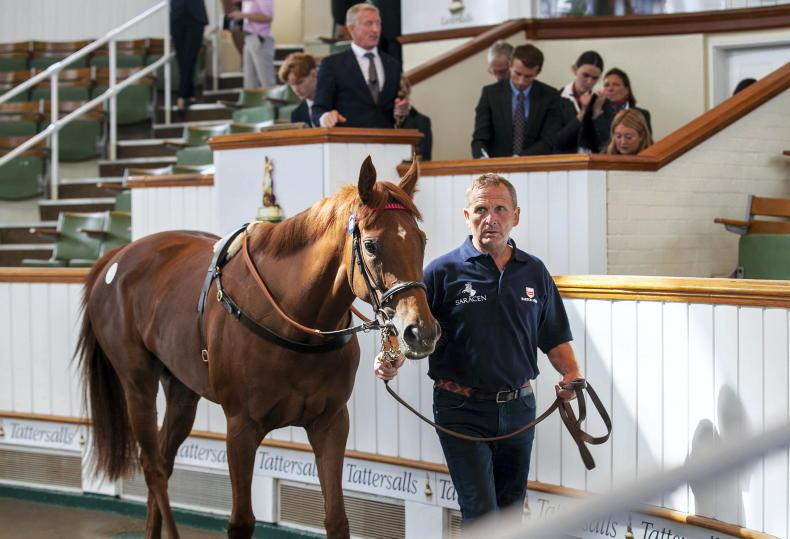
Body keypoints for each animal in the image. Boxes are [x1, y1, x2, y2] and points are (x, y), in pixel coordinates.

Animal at [75, 157, 440, 539]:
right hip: (137, 385)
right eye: (371, 245)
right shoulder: (241, 428)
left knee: (163, 458)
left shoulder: (331, 423)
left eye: (421, 240)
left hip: (181, 391)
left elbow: (337, 519)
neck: (296, 323)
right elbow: (241, 521)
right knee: (153, 467)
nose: (421, 331)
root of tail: (117, 257)